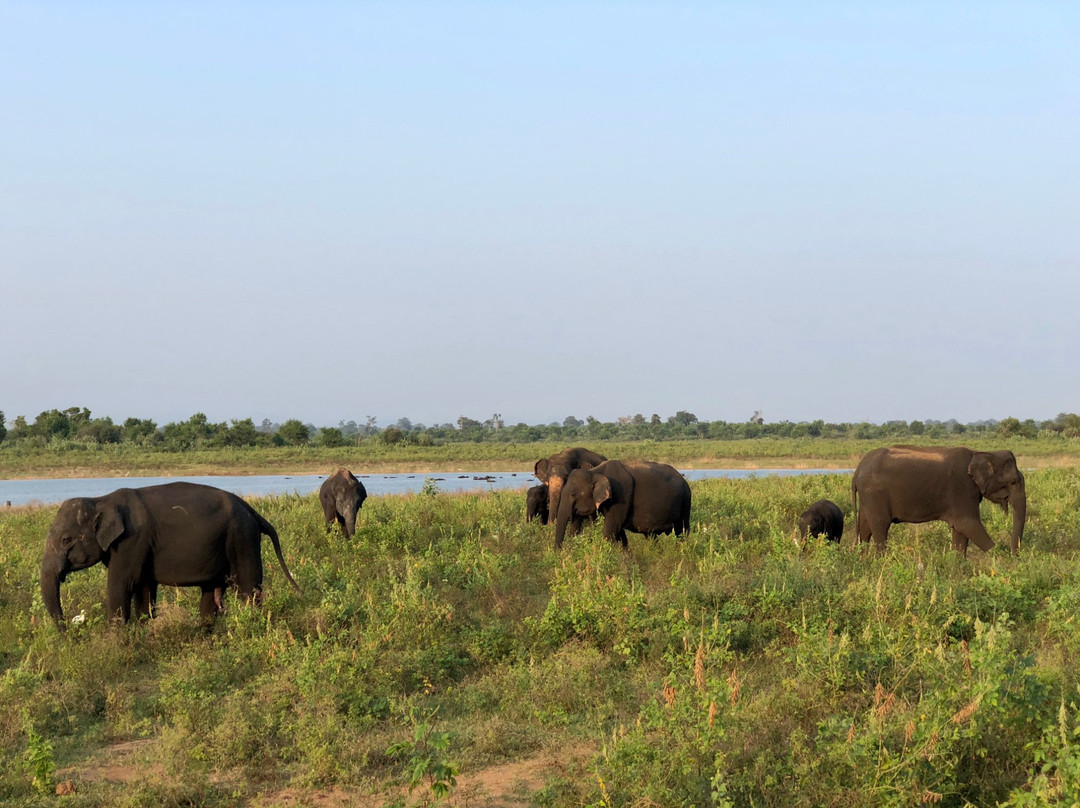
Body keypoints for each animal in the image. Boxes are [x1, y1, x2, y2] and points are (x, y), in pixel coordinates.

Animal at [39, 479, 302, 626]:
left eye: (66, 540)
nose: (69, 629)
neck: (101, 500)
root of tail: (252, 510)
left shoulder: (132, 541)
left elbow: (121, 584)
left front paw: (113, 643)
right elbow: (143, 587)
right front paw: (142, 631)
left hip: (242, 538)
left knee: (248, 588)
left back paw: (252, 626)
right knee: (211, 594)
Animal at [557, 460, 691, 548]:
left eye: (573, 495)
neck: (595, 471)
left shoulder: (621, 495)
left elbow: (612, 528)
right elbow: (619, 532)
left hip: (685, 500)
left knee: (681, 530)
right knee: (651, 536)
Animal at [846, 442, 1023, 557]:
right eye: (1013, 482)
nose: (1015, 556)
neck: (981, 453)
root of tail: (857, 472)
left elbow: (960, 531)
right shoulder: (961, 487)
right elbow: (966, 524)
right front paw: (1003, 562)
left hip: (868, 496)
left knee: (865, 526)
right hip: (874, 494)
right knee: (880, 526)